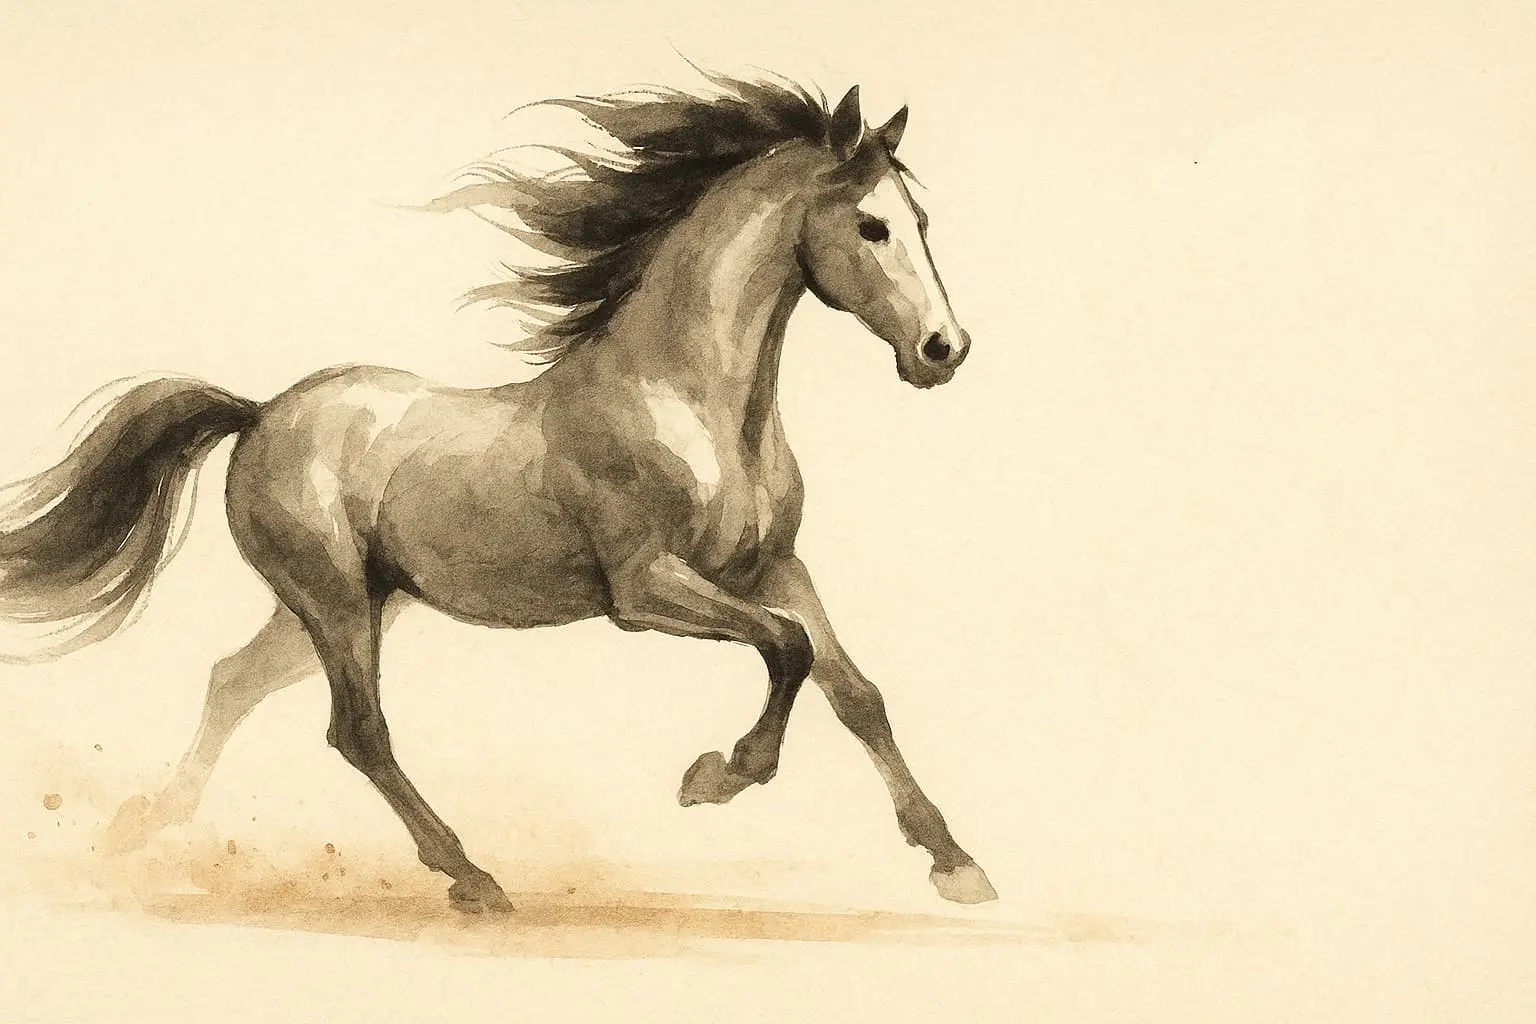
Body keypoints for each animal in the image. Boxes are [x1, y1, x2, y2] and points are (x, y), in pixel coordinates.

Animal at [0, 71, 996, 912]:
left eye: (923, 221)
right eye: (871, 226)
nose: (944, 350)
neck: (691, 401)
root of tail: (260, 413)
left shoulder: (773, 568)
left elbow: (854, 690)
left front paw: (956, 863)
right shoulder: (644, 589)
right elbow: (787, 650)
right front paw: (714, 776)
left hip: (350, 604)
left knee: (233, 682)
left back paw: (141, 826)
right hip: (332, 600)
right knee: (357, 731)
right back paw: (472, 877)